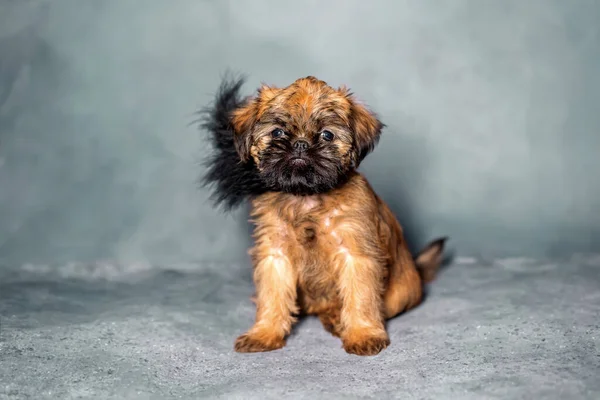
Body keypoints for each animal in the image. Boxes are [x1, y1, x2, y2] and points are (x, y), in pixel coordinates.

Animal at [200, 75, 446, 356]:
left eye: (327, 135)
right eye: (278, 132)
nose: (300, 143)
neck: (306, 197)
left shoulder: (355, 255)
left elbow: (360, 297)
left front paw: (362, 333)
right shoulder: (276, 256)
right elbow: (272, 295)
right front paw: (264, 333)